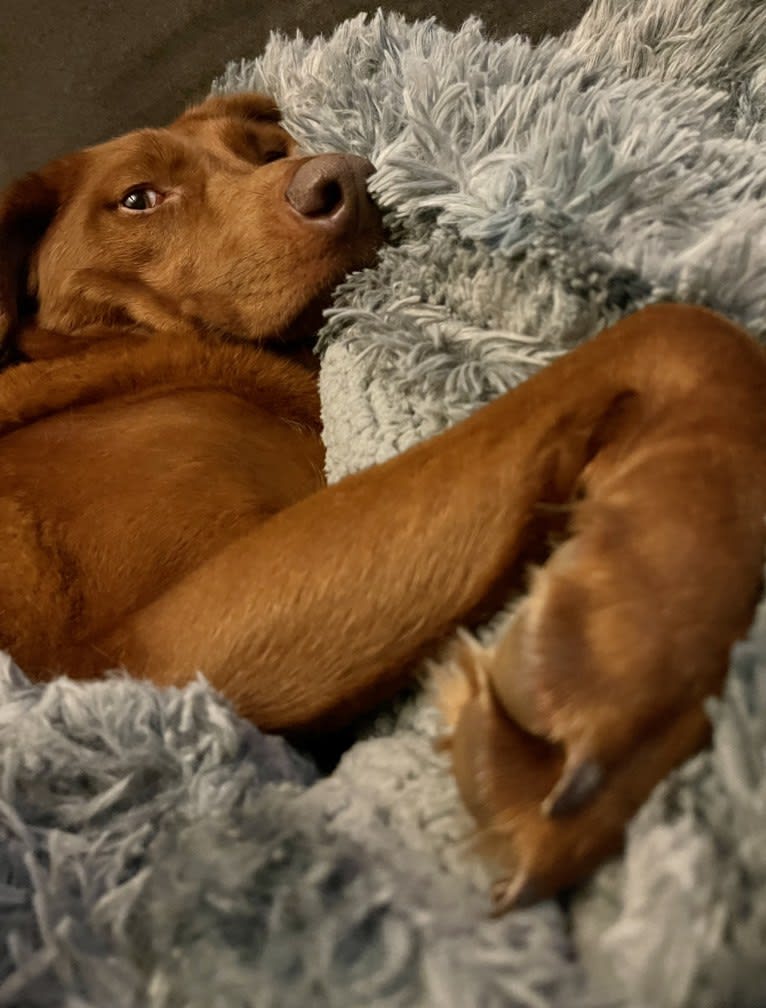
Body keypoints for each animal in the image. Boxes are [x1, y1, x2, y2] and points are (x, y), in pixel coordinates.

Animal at [1, 94, 766, 911]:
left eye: (268, 150)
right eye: (139, 197)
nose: (345, 179)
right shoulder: (157, 654)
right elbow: (680, 328)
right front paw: (627, 639)